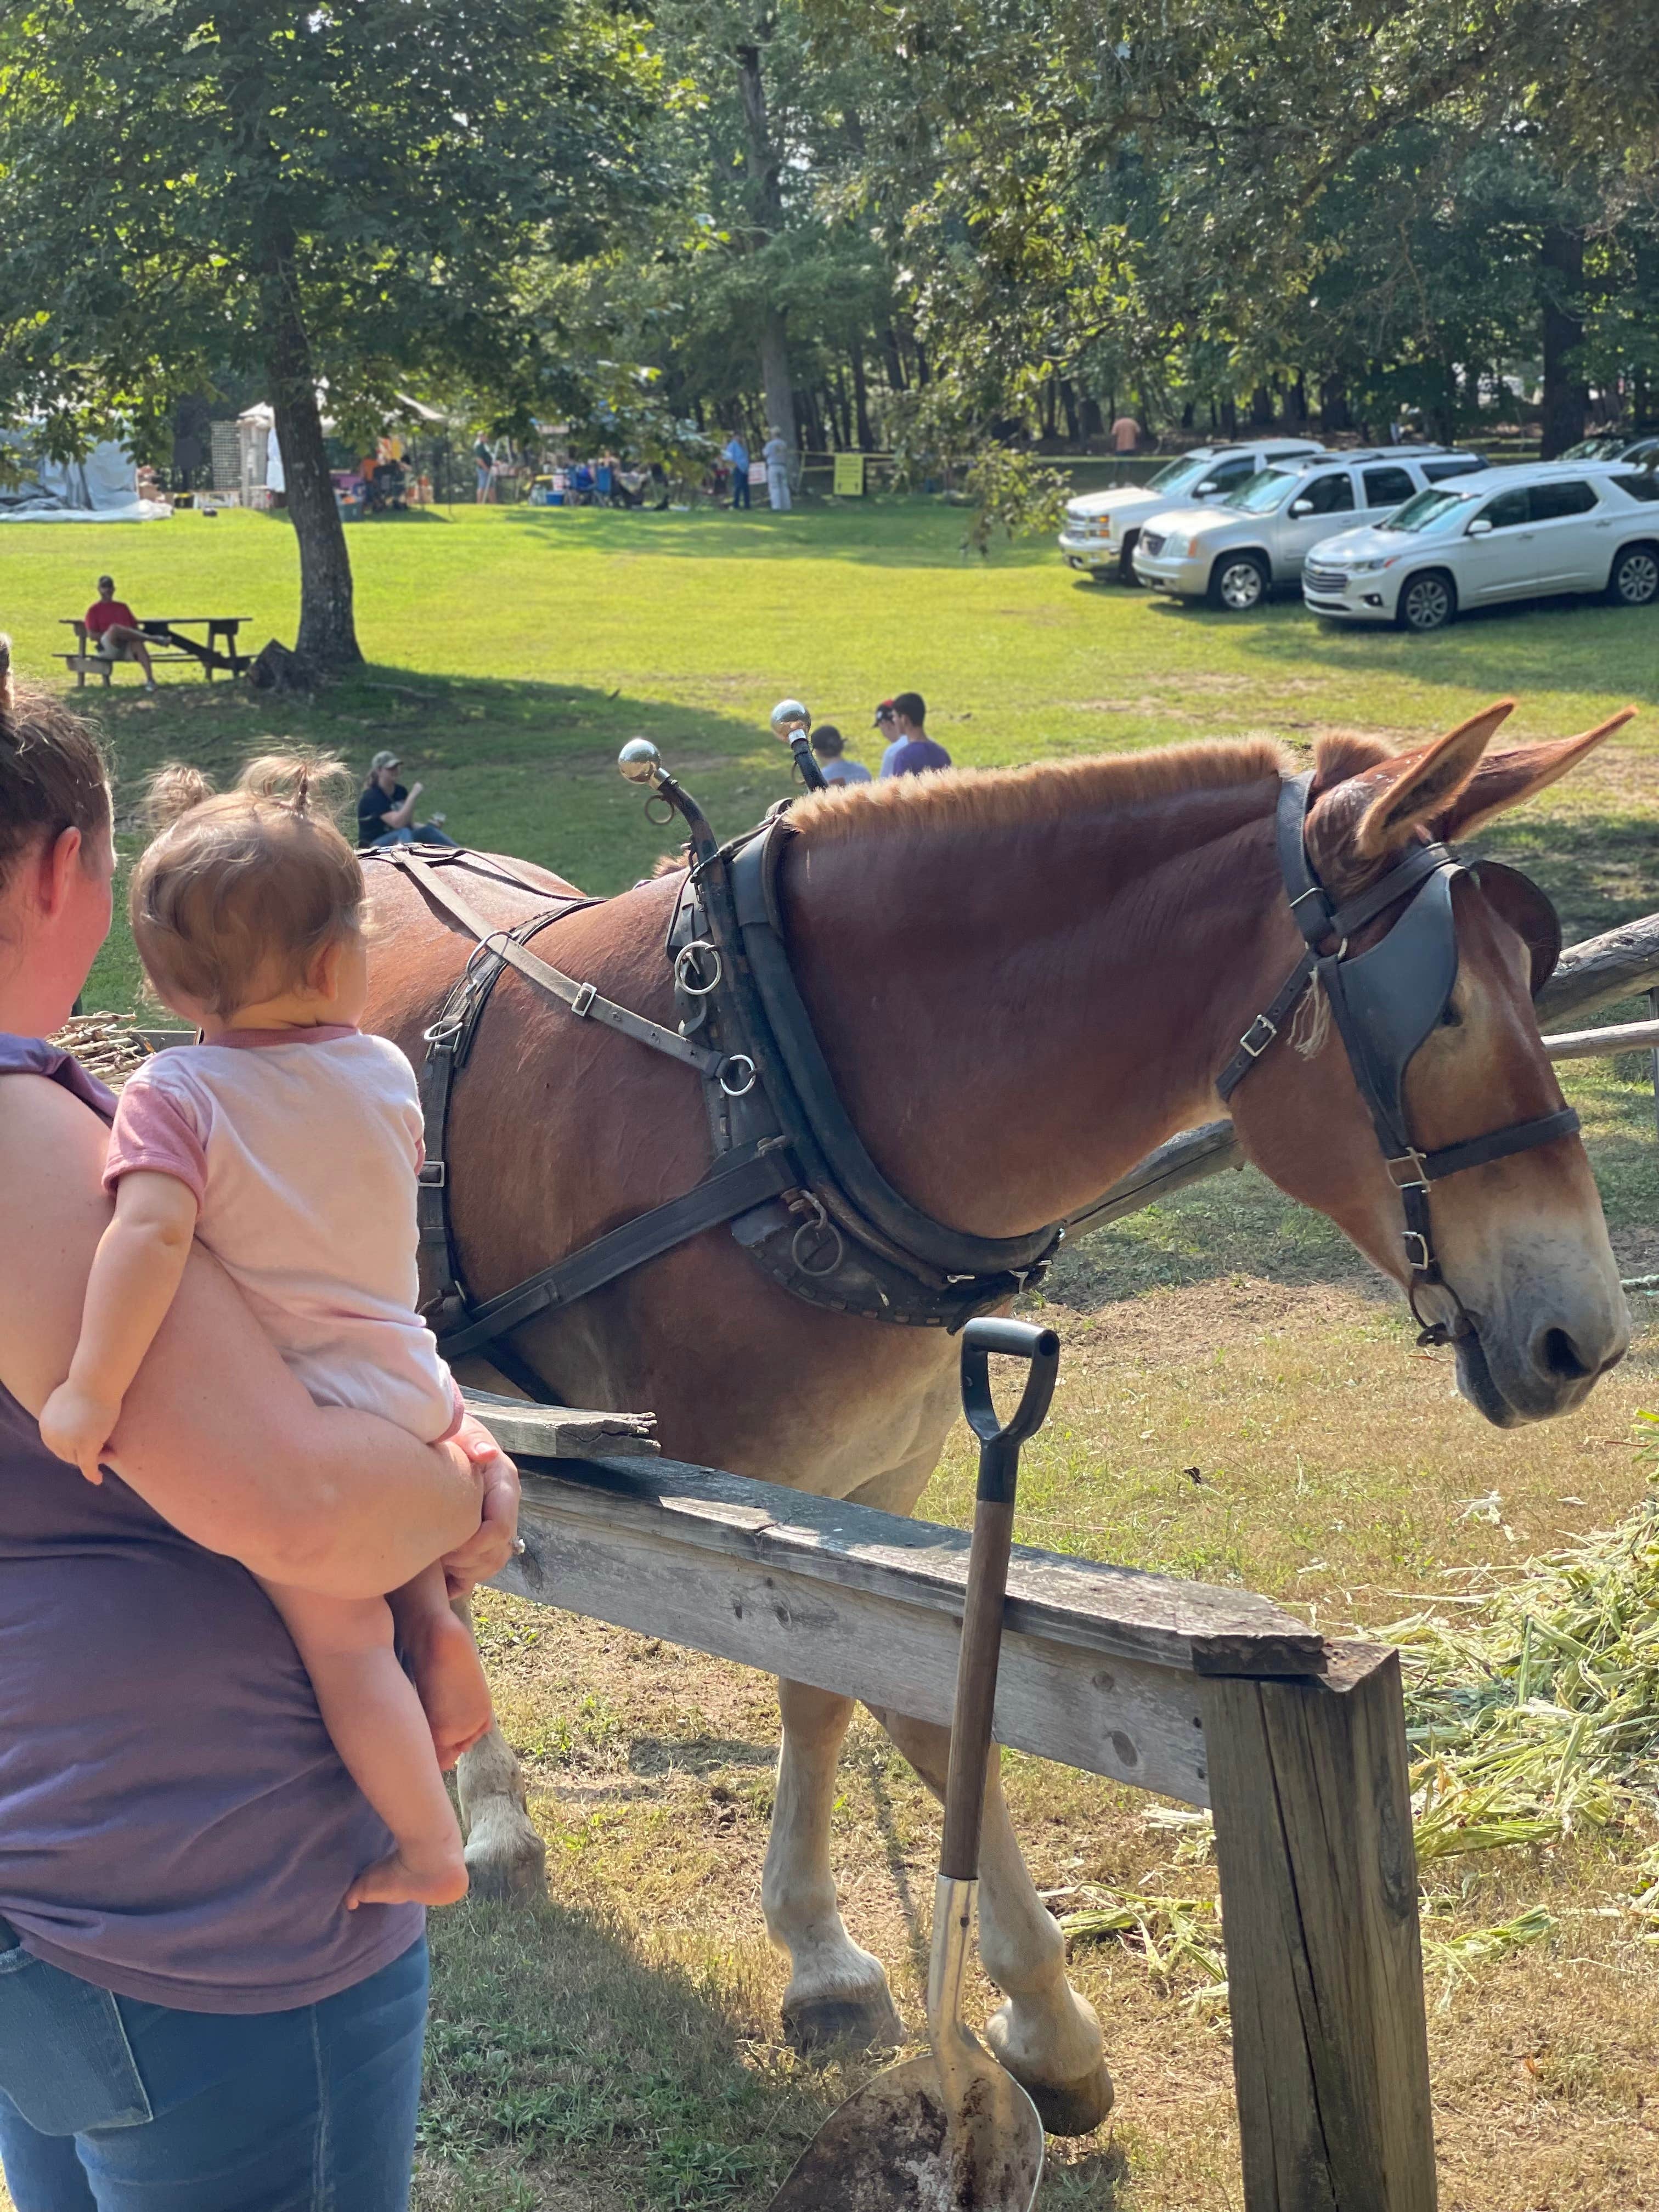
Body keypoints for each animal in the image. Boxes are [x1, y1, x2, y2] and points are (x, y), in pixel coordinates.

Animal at [363, 701, 1630, 2134]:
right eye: (1447, 1011)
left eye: (1533, 977)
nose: (1585, 1335)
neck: (773, 1083)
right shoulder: (745, 1481)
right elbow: (916, 1707)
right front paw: (1031, 2013)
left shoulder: (882, 1467)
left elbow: (836, 1693)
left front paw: (826, 1951)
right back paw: (490, 1816)